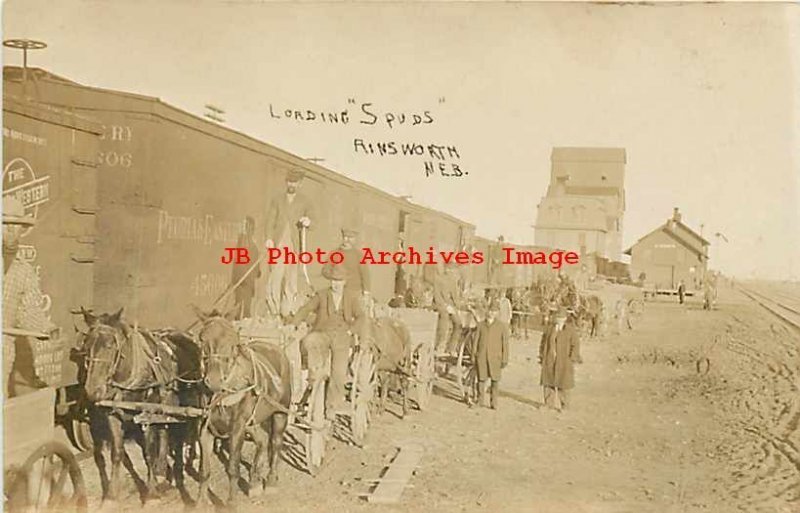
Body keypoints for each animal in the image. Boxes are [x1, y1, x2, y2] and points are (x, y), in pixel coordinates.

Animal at [79, 308, 202, 504]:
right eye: (86, 345)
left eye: (110, 345)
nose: (92, 390)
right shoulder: (113, 414)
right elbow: (117, 453)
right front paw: (111, 496)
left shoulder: (147, 414)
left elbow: (148, 452)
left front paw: (151, 493)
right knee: (166, 431)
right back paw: (163, 471)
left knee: (184, 434)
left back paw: (184, 463)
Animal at [192, 308, 292, 504]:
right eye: (202, 339)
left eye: (232, 341)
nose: (213, 381)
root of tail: (276, 349)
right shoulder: (205, 428)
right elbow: (204, 471)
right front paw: (199, 503)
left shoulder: (237, 428)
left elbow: (233, 468)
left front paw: (231, 503)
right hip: (253, 420)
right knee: (262, 442)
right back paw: (254, 483)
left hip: (280, 412)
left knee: (275, 442)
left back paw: (271, 482)